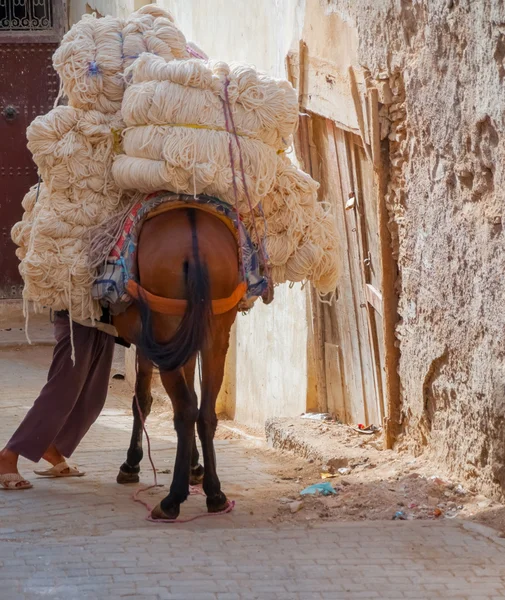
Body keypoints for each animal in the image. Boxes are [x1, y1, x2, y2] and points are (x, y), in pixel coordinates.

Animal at [113, 203, 239, 520]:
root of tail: (194, 243)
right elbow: (189, 391)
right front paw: (195, 465)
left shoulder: (147, 342)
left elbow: (142, 399)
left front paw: (131, 464)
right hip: (216, 332)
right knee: (204, 411)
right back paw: (215, 494)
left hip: (166, 333)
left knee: (185, 410)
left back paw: (172, 499)